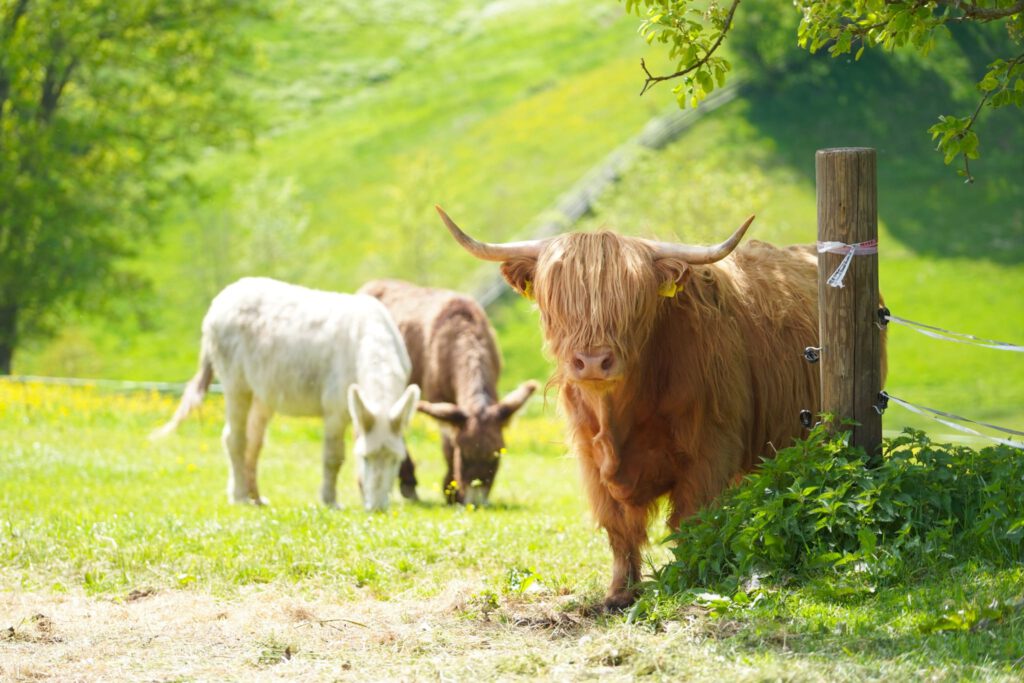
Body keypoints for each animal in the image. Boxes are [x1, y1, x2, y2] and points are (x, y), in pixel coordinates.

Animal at [153, 277, 421, 512]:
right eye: (366, 458)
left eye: (396, 460)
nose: (377, 509)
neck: (369, 345)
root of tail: (221, 298)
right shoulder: (335, 410)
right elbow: (334, 457)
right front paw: (331, 502)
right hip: (236, 385)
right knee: (234, 439)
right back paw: (240, 497)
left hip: (262, 395)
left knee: (253, 441)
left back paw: (256, 498)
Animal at [357, 278, 538, 506]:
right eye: (464, 455)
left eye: (497, 455)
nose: (475, 501)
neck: (463, 333)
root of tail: (371, 284)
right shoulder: (439, 397)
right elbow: (447, 442)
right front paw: (451, 492)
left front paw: (451, 492)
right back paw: (405, 484)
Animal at [435, 205, 868, 609]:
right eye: (555, 301)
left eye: (633, 302)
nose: (593, 361)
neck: (620, 417)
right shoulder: (590, 459)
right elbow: (619, 530)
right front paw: (619, 593)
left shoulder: (710, 449)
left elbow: (691, 522)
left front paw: (688, 582)